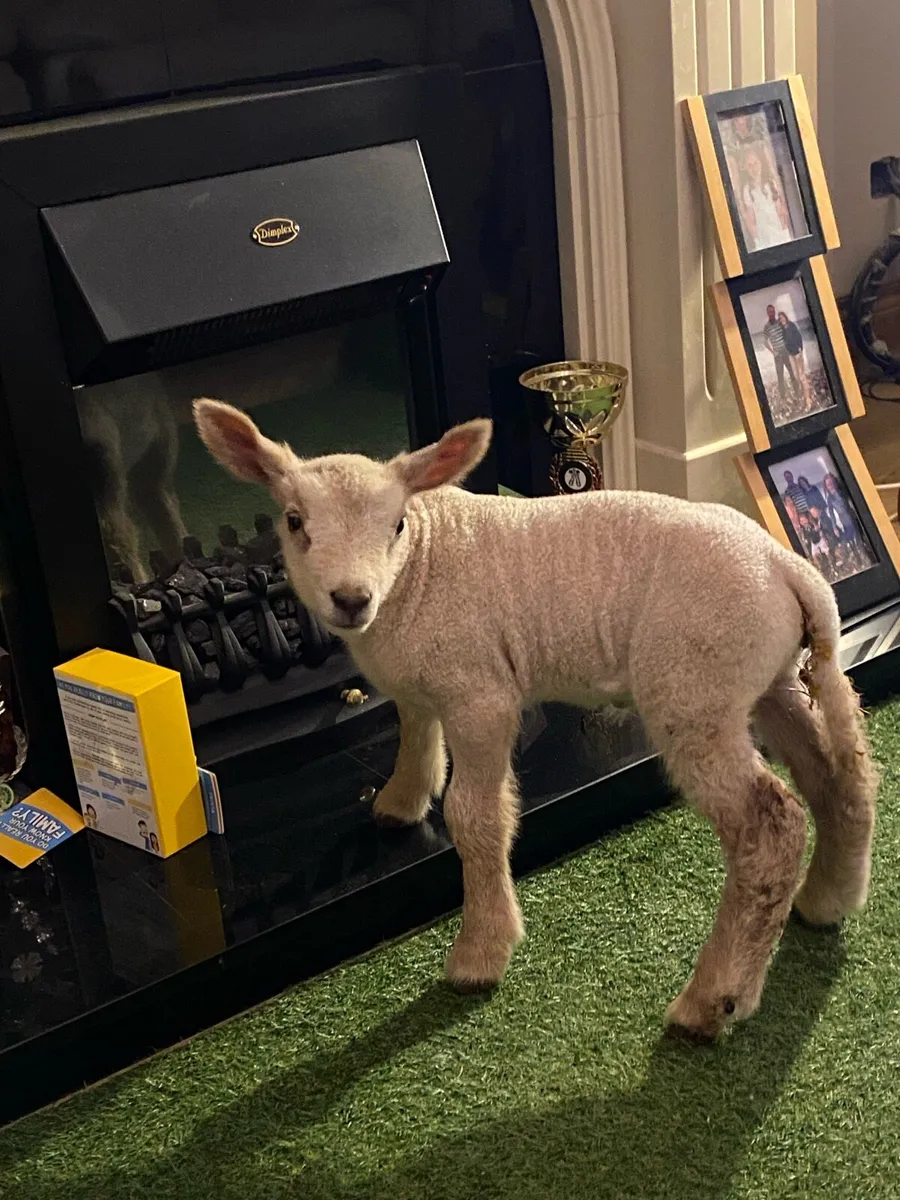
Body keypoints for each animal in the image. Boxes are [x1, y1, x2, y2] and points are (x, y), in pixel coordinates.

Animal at [193, 399, 877, 1041]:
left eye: (397, 523)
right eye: (294, 521)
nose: (350, 599)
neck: (417, 573)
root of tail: (790, 568)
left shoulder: (481, 695)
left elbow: (475, 815)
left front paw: (480, 953)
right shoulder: (421, 686)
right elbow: (415, 738)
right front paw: (400, 803)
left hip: (694, 689)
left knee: (772, 826)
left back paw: (712, 1000)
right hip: (764, 680)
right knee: (841, 778)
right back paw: (826, 898)